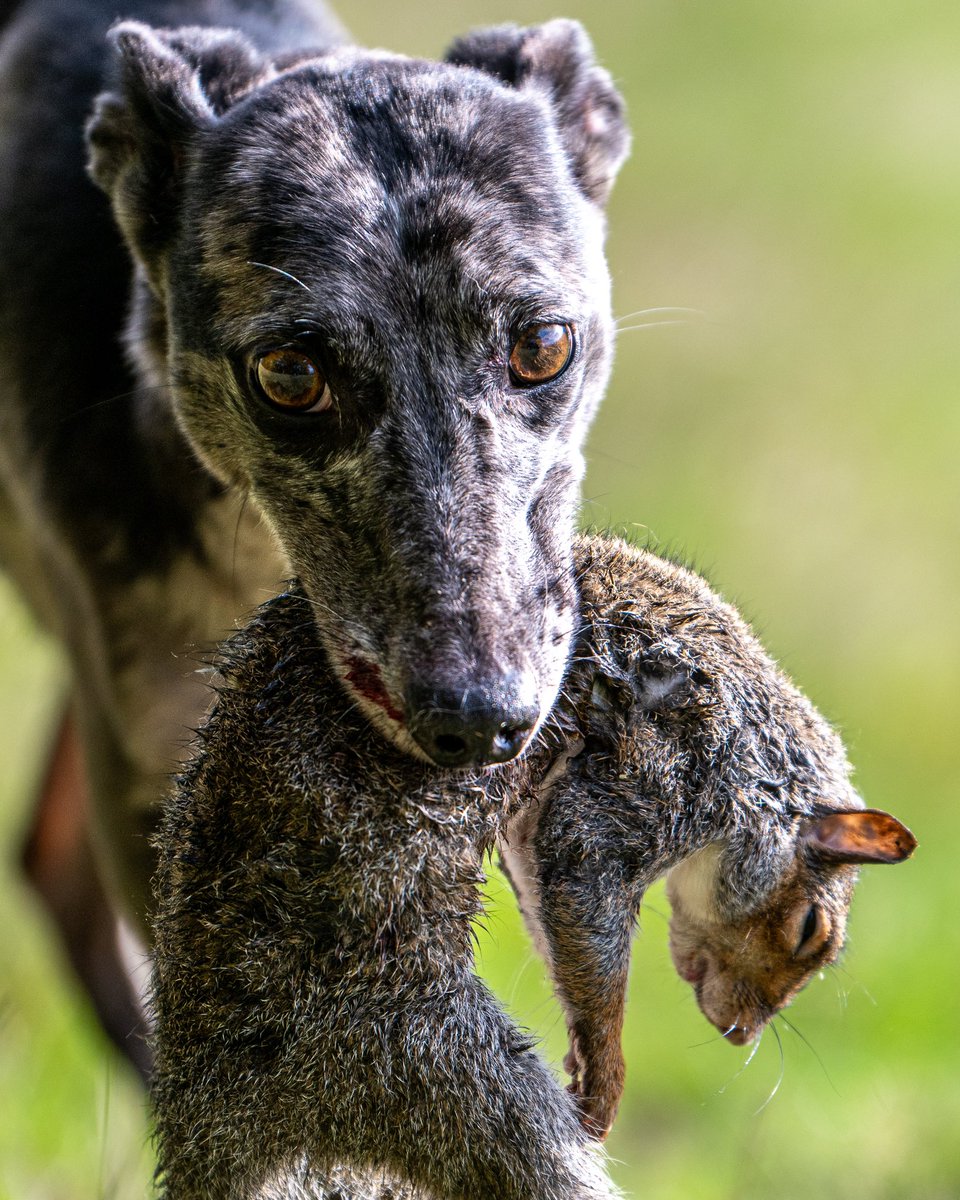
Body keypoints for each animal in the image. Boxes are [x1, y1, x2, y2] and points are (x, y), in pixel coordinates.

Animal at [151, 540, 916, 1195]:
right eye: (811, 930)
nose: (741, 1033)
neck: (759, 750)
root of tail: (213, 1112)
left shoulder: (543, 819)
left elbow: (550, 907)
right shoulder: (656, 774)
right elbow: (582, 889)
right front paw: (605, 1073)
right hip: (436, 1075)